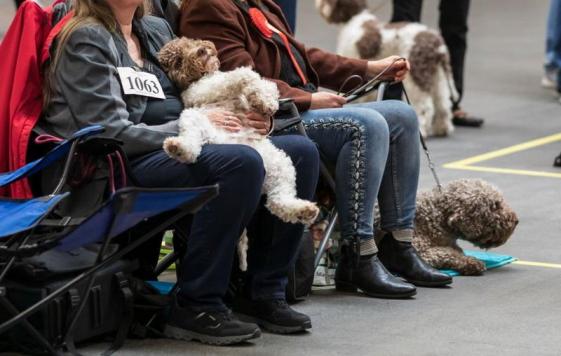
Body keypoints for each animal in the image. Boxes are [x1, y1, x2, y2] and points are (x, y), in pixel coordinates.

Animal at [318, 0, 458, 136]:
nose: (318, 3)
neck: (355, 18)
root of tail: (438, 45)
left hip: (417, 76)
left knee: (425, 107)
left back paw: (423, 130)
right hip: (437, 77)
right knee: (443, 104)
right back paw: (442, 128)